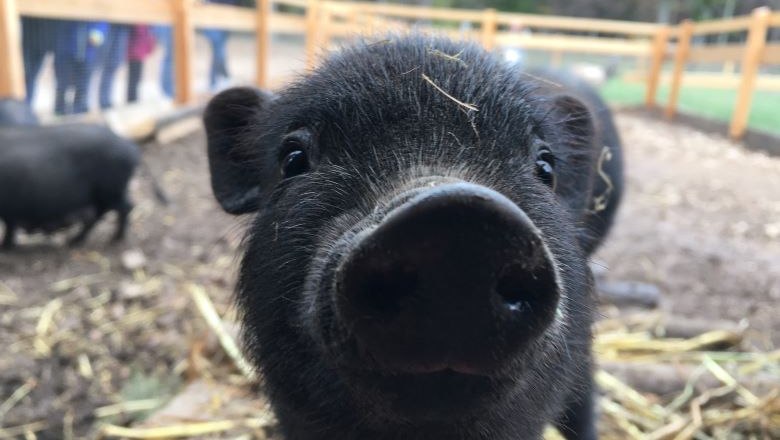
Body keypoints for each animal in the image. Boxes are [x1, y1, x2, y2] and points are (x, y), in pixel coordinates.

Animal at [0, 124, 139, 248]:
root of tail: (130, 147)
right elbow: (10, 225)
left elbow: (10, 225)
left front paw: (5, 246)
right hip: (107, 194)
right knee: (101, 214)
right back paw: (74, 241)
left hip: (110, 191)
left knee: (125, 208)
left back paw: (113, 240)